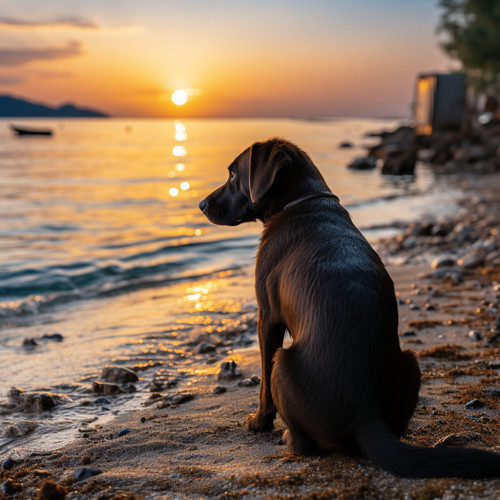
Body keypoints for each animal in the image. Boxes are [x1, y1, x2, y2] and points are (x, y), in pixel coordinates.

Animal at [199, 139, 500, 478]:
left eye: (233, 175)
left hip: (283, 363)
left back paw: (289, 437)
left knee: (305, 441)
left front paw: (258, 422)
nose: (201, 204)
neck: (302, 201)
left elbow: (263, 385)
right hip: (410, 361)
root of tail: (364, 413)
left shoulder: (267, 318)